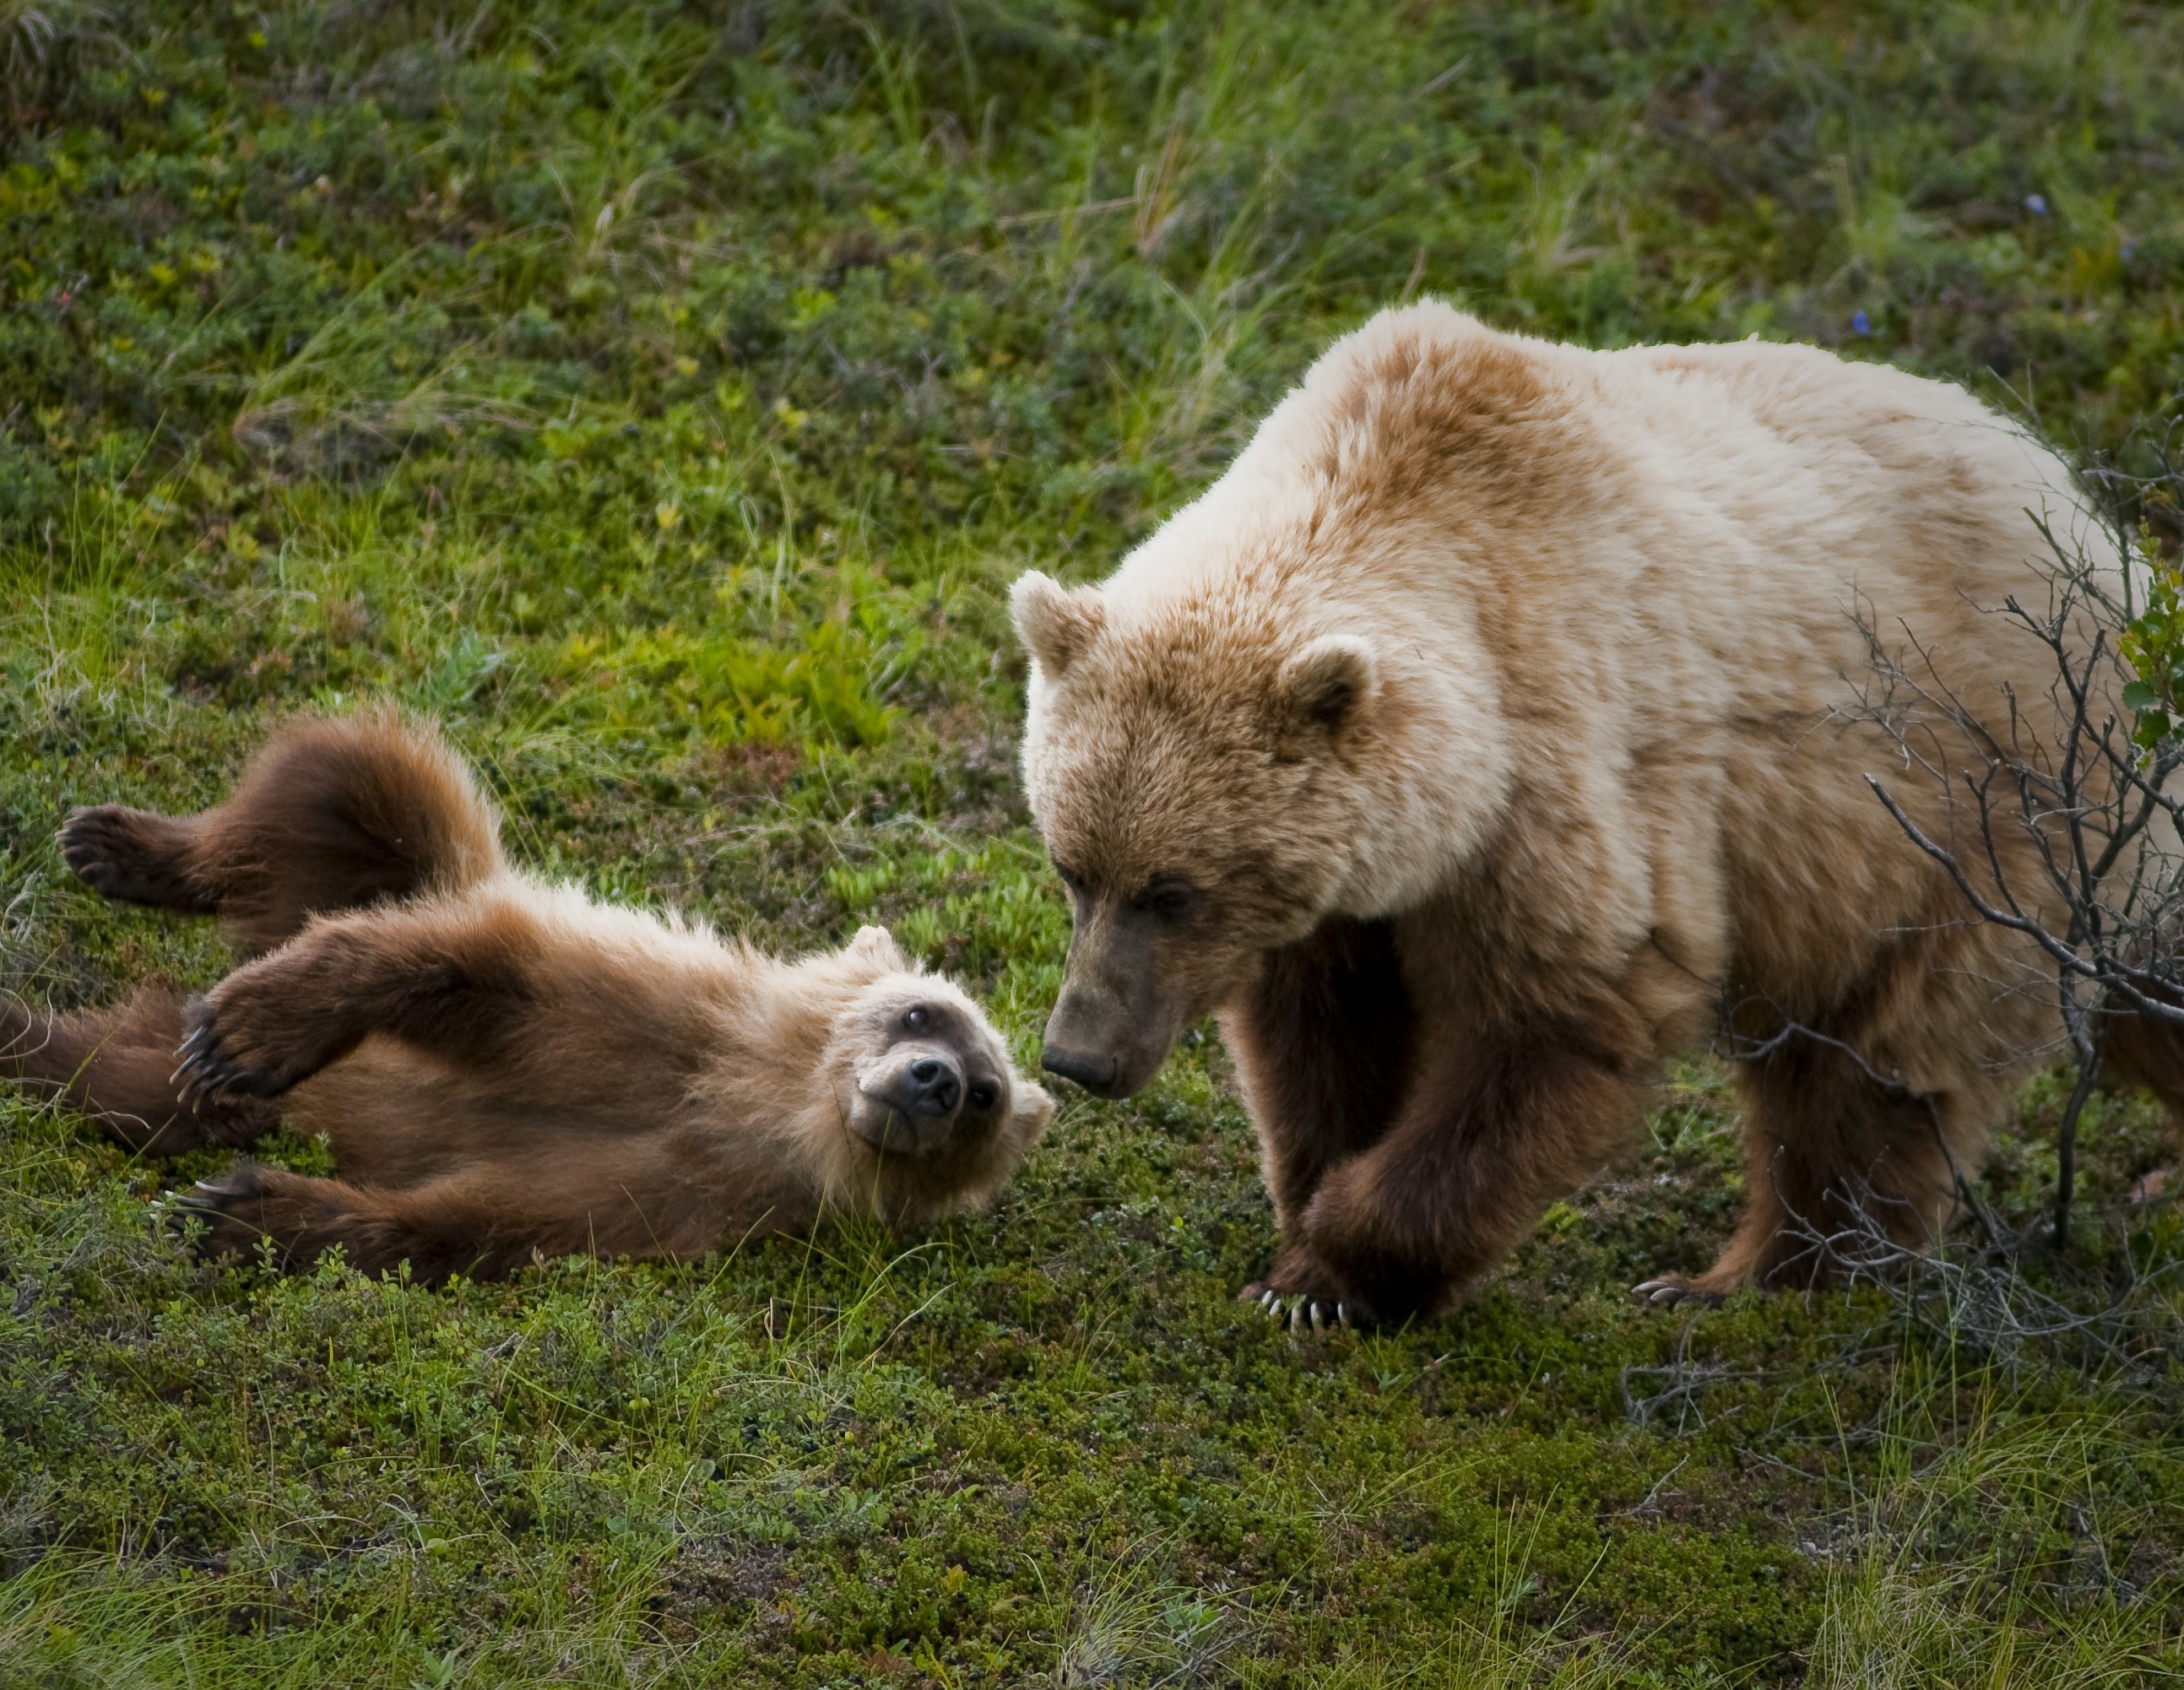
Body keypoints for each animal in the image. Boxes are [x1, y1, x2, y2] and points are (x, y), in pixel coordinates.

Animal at [4, 716, 1052, 1283]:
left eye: (986, 1094)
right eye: (923, 1013)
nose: (933, 1082)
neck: (755, 1100)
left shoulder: (691, 1195)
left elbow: (486, 1218)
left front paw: (238, 1210)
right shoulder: (647, 1015)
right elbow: (475, 972)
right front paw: (250, 1031)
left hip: (180, 1085)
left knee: (118, 1078)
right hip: (401, 862)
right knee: (346, 778)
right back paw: (119, 847)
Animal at [1013, 307, 2175, 1335]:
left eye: (1174, 891)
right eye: (1072, 868)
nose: (1076, 1055)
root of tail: (2104, 538)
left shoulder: (1556, 777)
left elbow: (1559, 1019)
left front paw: (1339, 1266)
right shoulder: (1351, 886)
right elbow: (1326, 1033)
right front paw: (1306, 1240)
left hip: (1979, 823)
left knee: (1870, 1073)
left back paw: (1754, 1279)